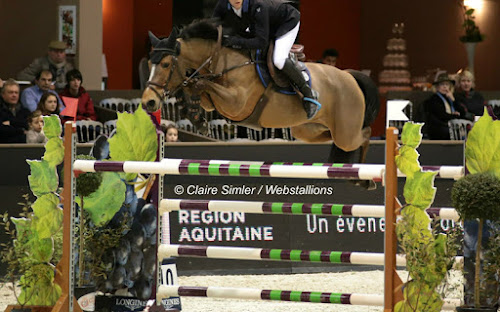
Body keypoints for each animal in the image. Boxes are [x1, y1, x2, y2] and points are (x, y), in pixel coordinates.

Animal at [143, 20, 380, 183]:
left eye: (165, 64)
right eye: (148, 63)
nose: (148, 102)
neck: (221, 60)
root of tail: (349, 76)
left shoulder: (237, 104)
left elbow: (202, 85)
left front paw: (195, 110)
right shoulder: (214, 101)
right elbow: (196, 87)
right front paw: (195, 116)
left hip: (345, 132)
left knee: (364, 134)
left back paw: (364, 179)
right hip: (308, 130)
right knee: (334, 138)